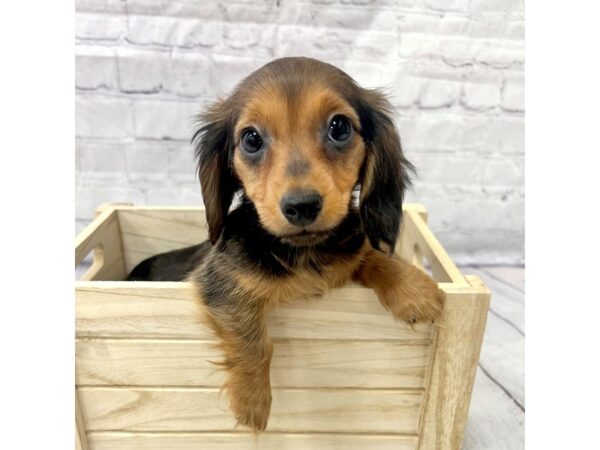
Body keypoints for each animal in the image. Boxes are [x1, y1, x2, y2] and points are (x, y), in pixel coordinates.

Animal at [127, 56, 446, 432]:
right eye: (251, 138)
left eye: (339, 127)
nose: (302, 206)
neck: (303, 252)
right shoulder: (220, 283)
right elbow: (255, 340)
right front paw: (252, 402)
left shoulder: (347, 253)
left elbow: (368, 253)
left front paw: (413, 289)